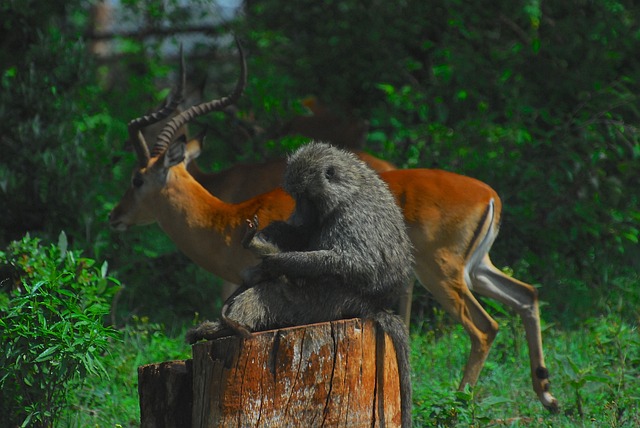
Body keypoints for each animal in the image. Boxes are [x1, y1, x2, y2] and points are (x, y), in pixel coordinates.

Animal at [111, 43, 560, 412]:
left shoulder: (238, 278)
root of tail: (490, 195)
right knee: (526, 295)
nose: (115, 217)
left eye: (136, 179)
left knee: (484, 327)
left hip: (442, 273)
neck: (225, 216)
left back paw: (460, 403)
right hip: (476, 269)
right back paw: (547, 397)